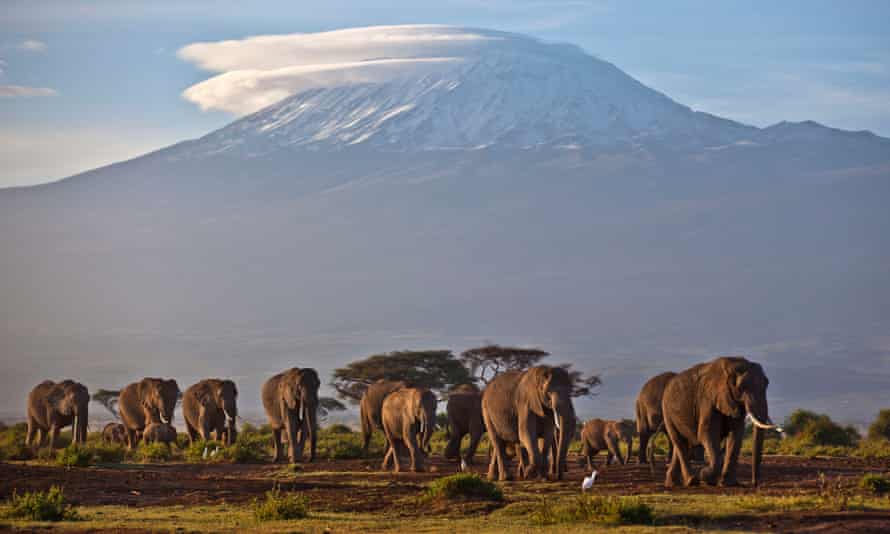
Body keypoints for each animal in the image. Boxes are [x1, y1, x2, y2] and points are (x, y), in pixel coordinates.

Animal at [662, 356, 777, 488]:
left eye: (766, 385)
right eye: (741, 387)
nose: (754, 483)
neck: (733, 364)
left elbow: (736, 435)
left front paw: (727, 483)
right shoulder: (707, 399)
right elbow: (707, 433)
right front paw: (704, 476)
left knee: (682, 444)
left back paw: (672, 483)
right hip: (667, 412)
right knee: (679, 441)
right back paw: (692, 481)